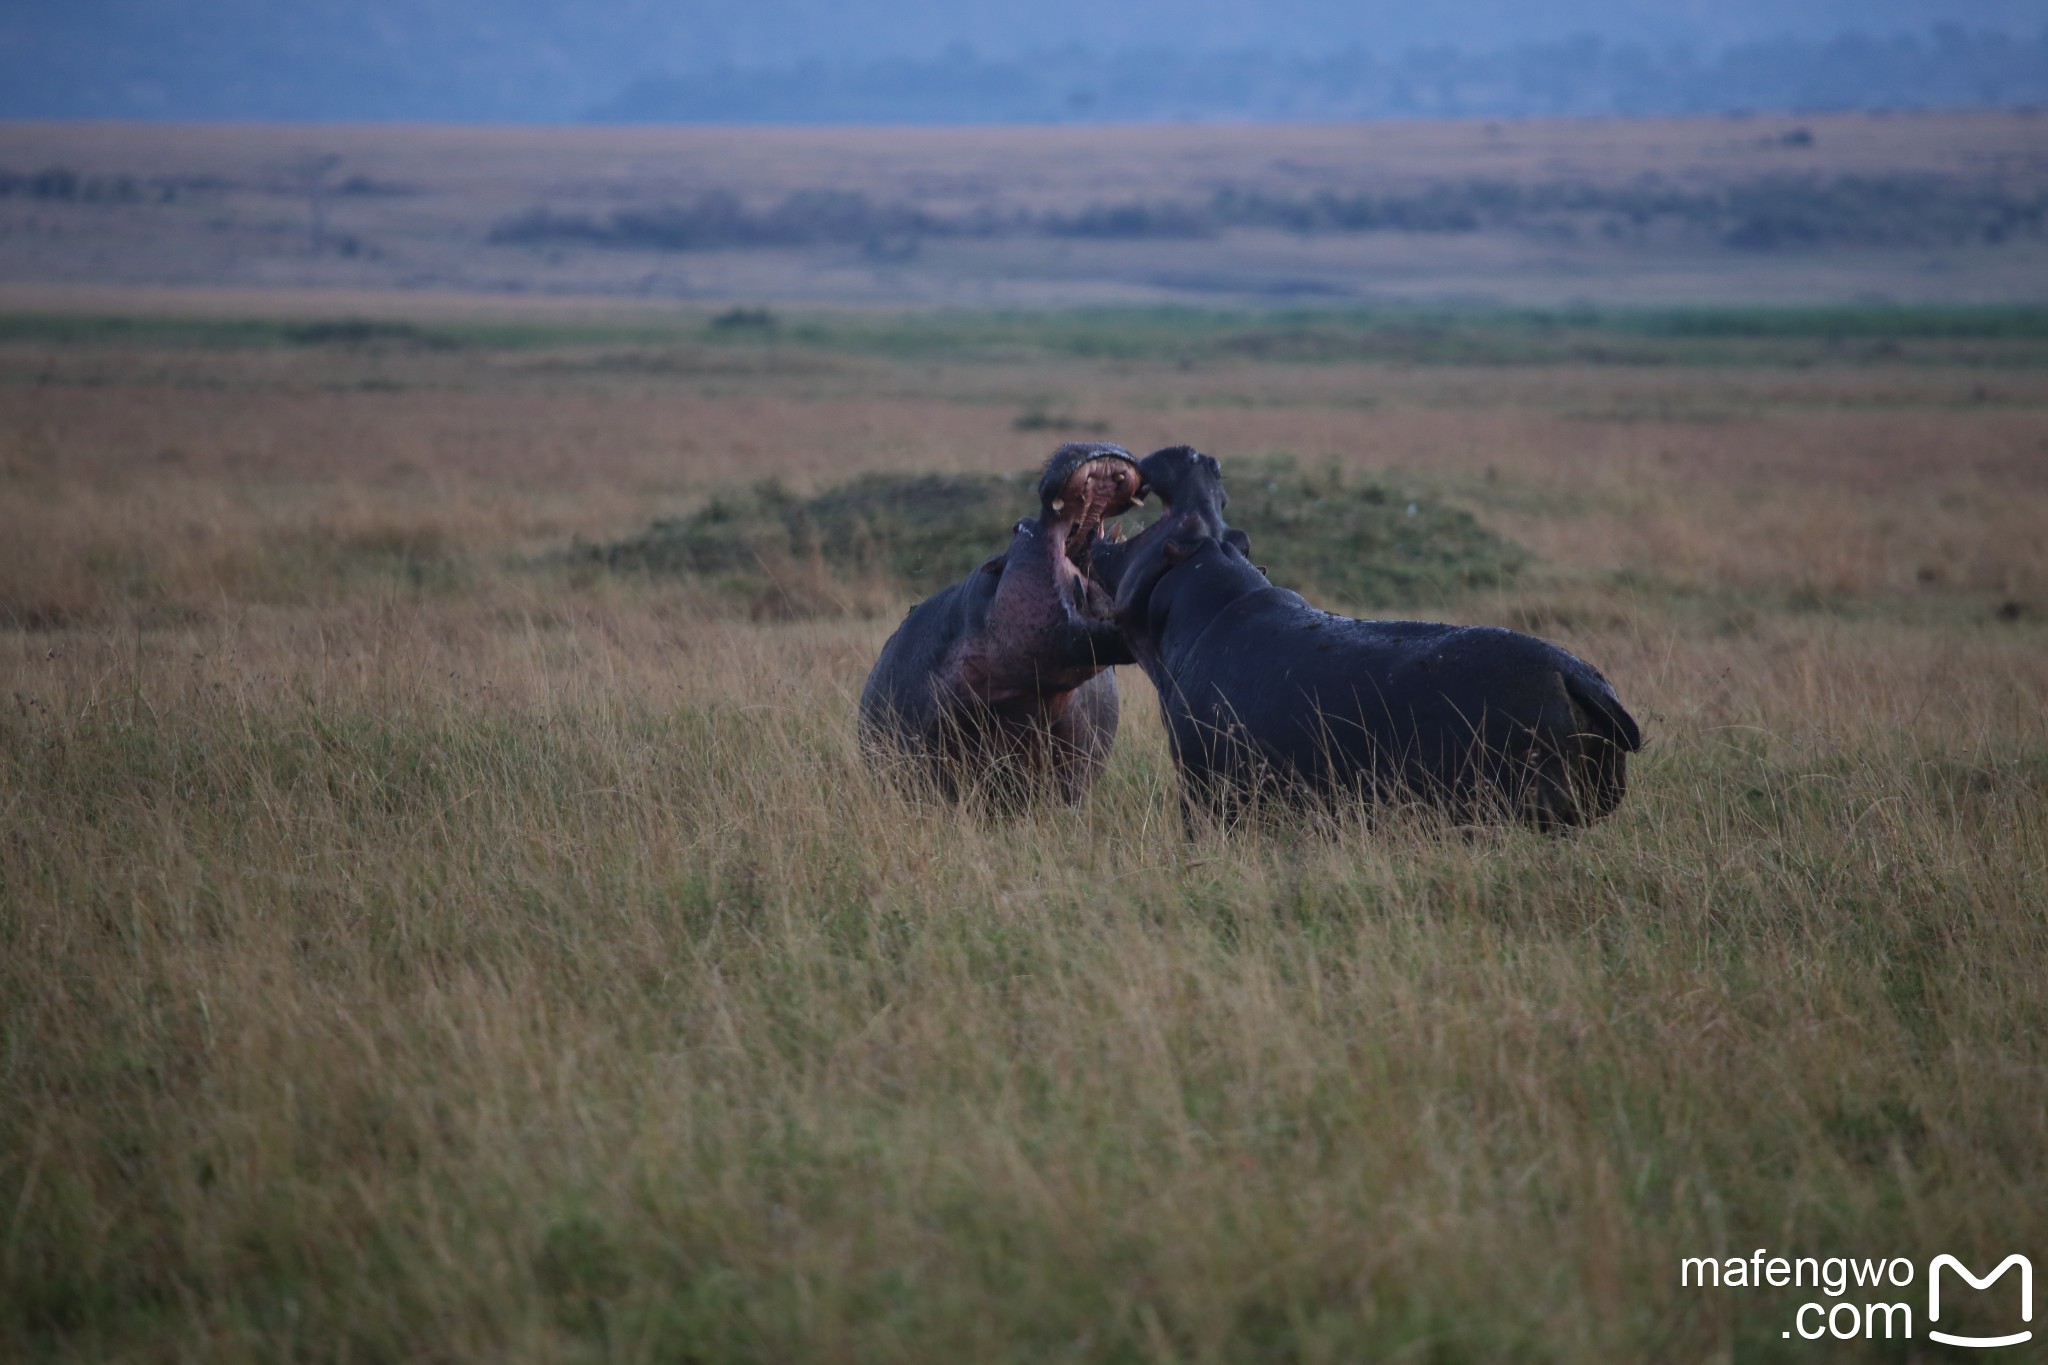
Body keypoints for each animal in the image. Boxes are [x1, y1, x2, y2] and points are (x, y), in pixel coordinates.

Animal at [1097, 450, 1638, 834]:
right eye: (1240, 534)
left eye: (1189, 524)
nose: (1200, 457)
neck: (1205, 587)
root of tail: (1575, 675)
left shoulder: (1202, 794)